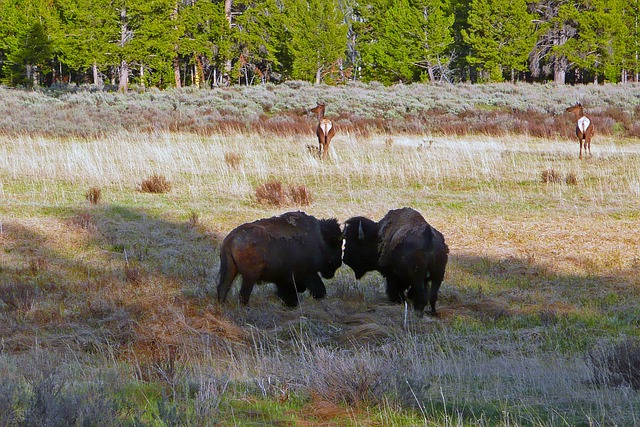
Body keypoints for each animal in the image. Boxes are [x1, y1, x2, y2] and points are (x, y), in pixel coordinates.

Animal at [216, 211, 344, 308]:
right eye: (337, 244)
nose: (339, 263)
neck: (321, 240)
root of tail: (232, 238)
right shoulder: (307, 274)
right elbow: (319, 289)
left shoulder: (283, 279)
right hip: (249, 276)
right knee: (244, 293)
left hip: (230, 270)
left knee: (223, 288)